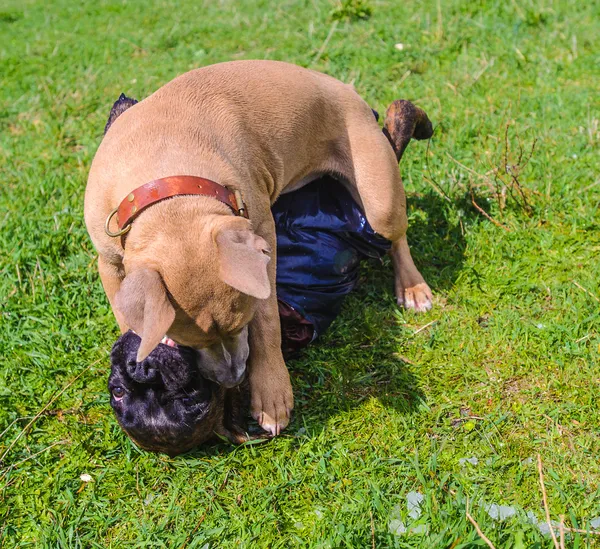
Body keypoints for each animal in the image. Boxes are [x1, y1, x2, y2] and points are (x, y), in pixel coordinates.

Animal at [83, 60, 432, 434]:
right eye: (190, 344)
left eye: (241, 326)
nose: (234, 378)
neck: (169, 183)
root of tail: (349, 93)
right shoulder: (109, 263)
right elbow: (126, 318)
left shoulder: (263, 234)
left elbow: (267, 322)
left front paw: (271, 392)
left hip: (379, 202)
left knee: (395, 234)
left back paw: (412, 287)